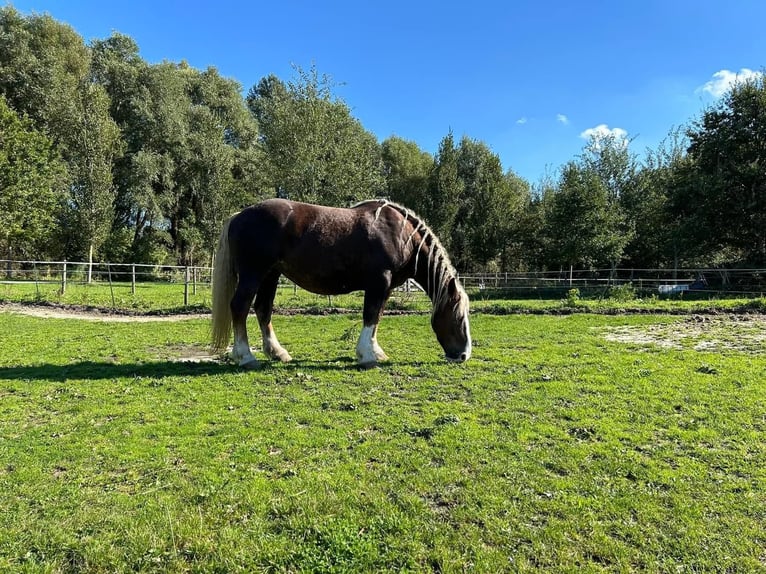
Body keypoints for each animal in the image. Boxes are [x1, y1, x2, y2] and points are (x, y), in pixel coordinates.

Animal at [212, 198, 474, 368]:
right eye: (459, 316)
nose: (463, 355)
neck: (402, 234)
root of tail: (238, 216)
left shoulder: (385, 288)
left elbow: (377, 317)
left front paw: (375, 351)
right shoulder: (379, 282)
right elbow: (370, 315)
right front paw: (366, 356)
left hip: (271, 275)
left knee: (263, 309)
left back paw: (278, 353)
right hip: (253, 274)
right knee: (240, 306)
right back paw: (246, 357)